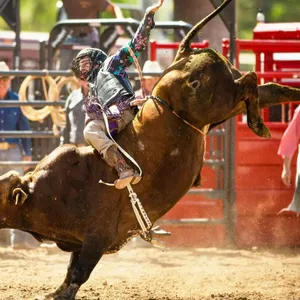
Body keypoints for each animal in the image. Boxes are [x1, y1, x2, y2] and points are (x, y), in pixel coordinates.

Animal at [0, 1, 300, 298]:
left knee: (250, 79)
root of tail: (184, 56)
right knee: (266, 89)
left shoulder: (98, 237)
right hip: (225, 106)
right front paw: (54, 292)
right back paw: (281, 103)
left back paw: (258, 124)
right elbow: (70, 270)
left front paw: (62, 293)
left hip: (219, 100)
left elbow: (78, 273)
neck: (44, 192)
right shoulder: (81, 242)